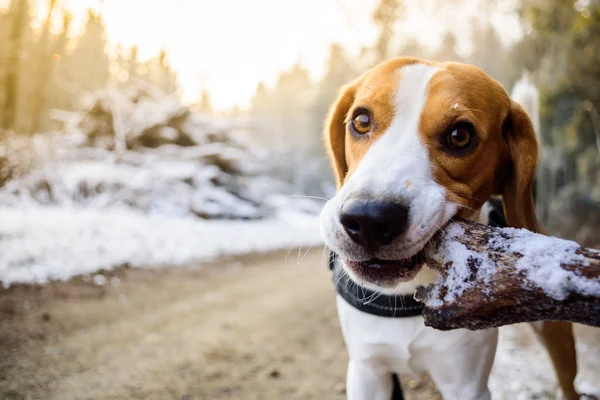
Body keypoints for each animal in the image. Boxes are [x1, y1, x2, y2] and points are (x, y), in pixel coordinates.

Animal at [322, 57, 580, 400]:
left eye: (460, 136)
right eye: (361, 120)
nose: (369, 220)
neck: (410, 294)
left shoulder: (466, 384)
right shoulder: (367, 373)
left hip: (557, 336)